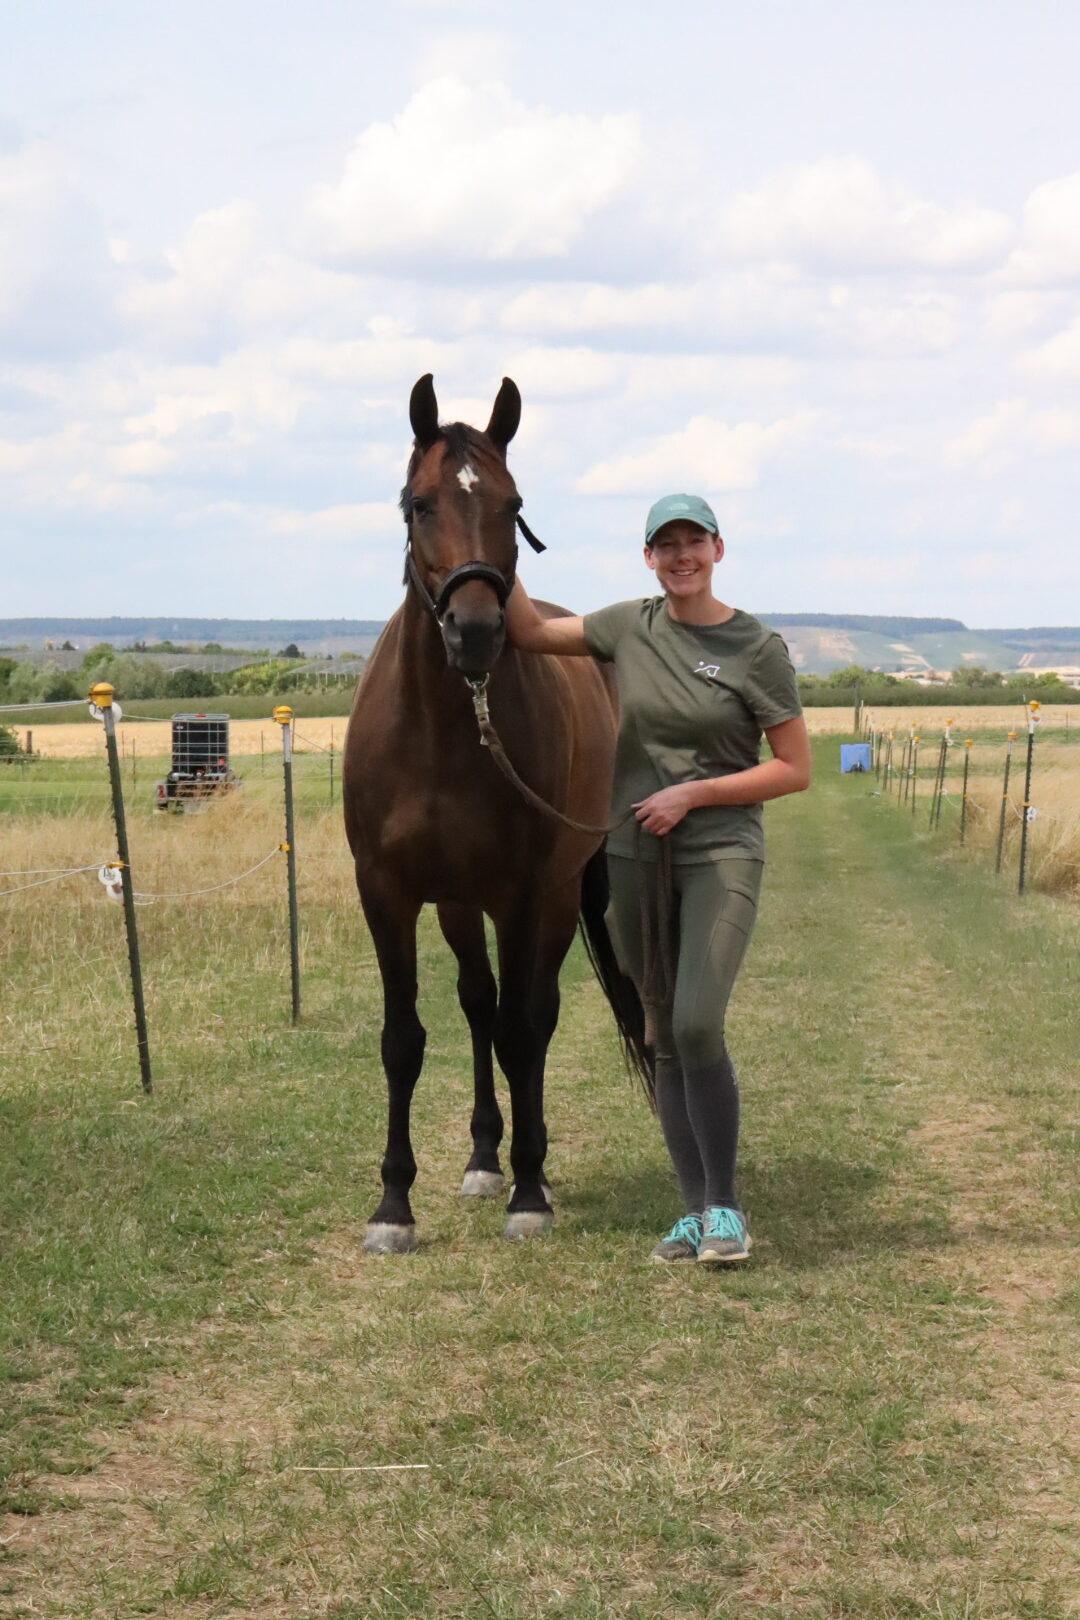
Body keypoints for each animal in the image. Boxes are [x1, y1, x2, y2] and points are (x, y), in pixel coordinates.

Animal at [346, 370, 647, 1250]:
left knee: (531, 1017)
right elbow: (404, 1040)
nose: (475, 630)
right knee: (479, 1005)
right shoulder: (388, 893)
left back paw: (527, 1168)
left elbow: (524, 1030)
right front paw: (393, 1204)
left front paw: (529, 1193)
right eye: (419, 504)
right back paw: (485, 1157)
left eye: (513, 506)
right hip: (458, 903)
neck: (447, 730)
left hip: (556, 895)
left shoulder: (522, 894)